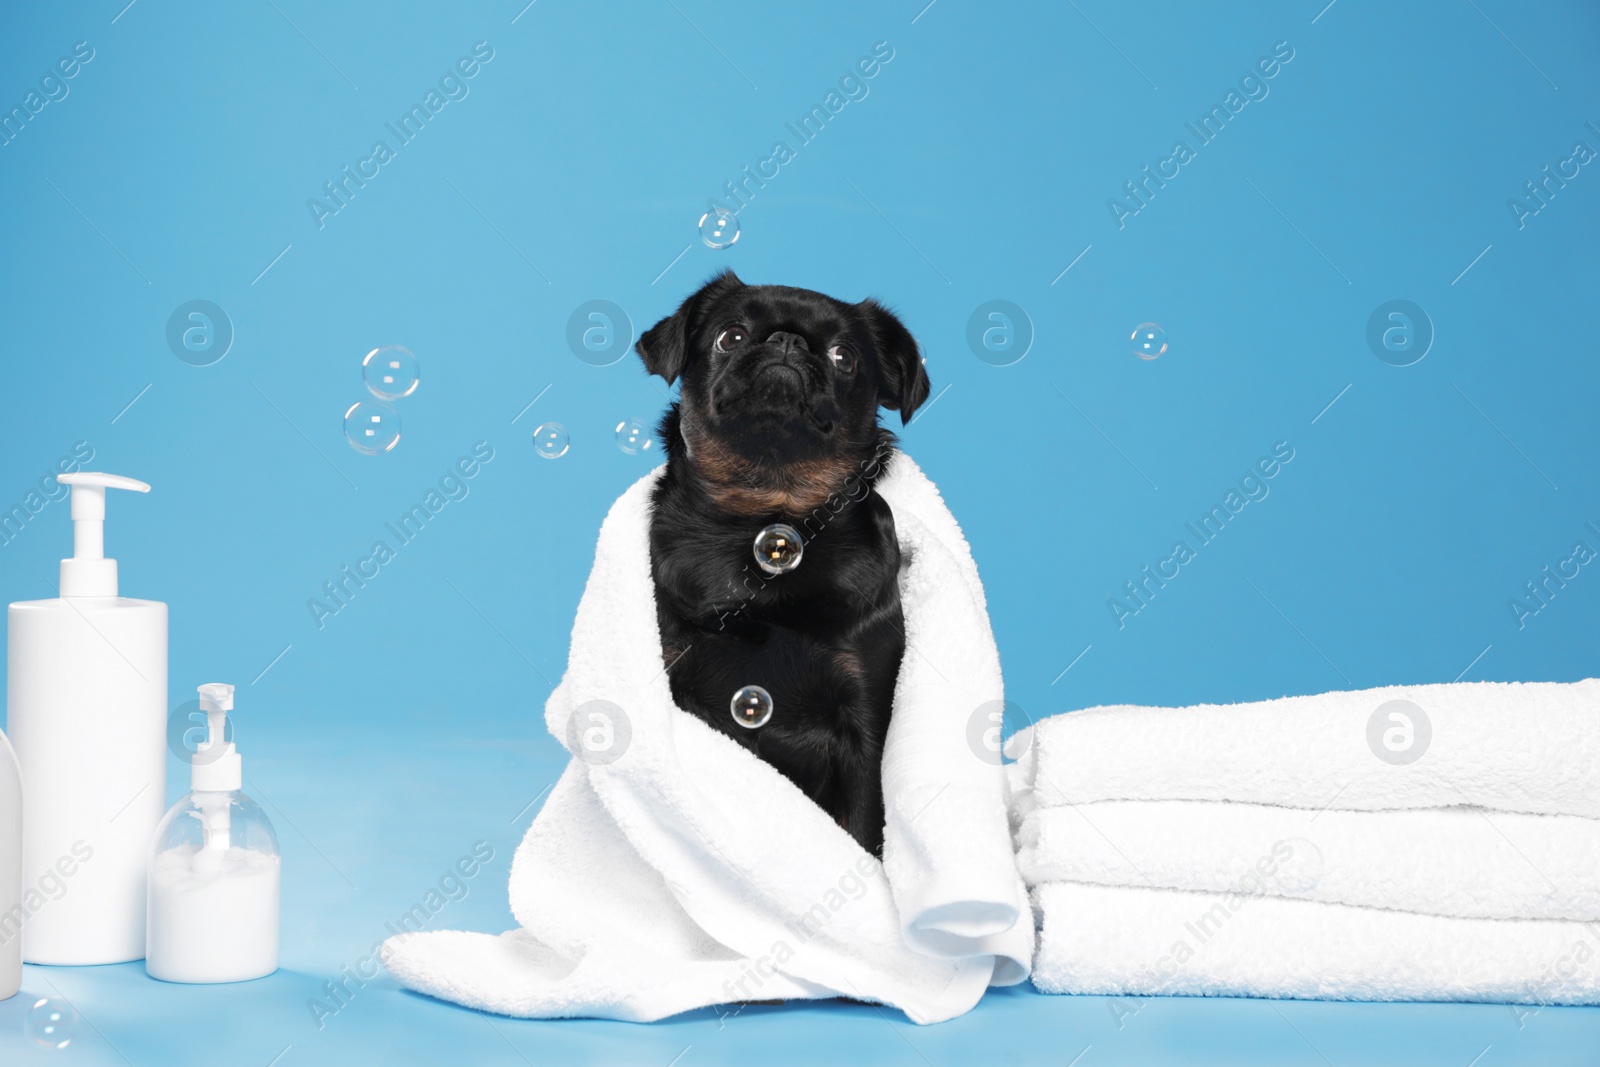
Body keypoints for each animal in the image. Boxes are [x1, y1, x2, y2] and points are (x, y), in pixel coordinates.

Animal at [636, 271, 934, 857]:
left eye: (844, 357)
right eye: (730, 336)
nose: (788, 342)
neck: (769, 518)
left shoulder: (865, 719)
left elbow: (864, 829)